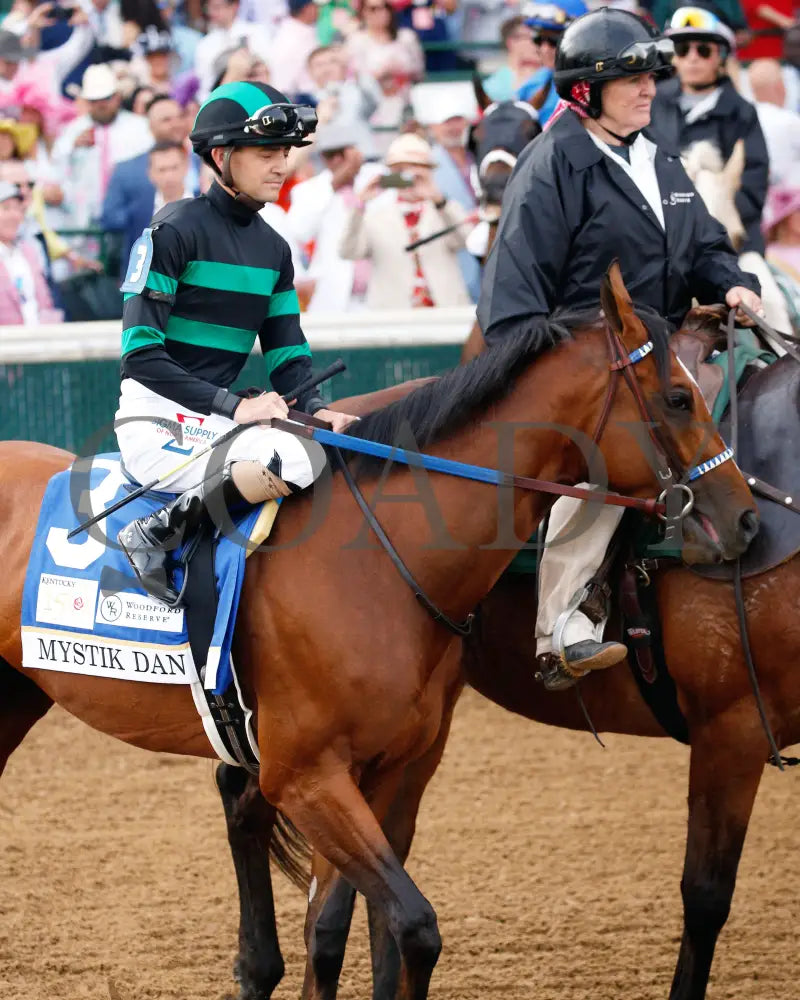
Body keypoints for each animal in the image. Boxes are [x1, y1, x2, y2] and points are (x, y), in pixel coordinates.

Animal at [0, 266, 752, 1000]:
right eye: (679, 397)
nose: (744, 516)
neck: (378, 559)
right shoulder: (307, 776)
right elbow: (413, 925)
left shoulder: (388, 768)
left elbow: (344, 931)